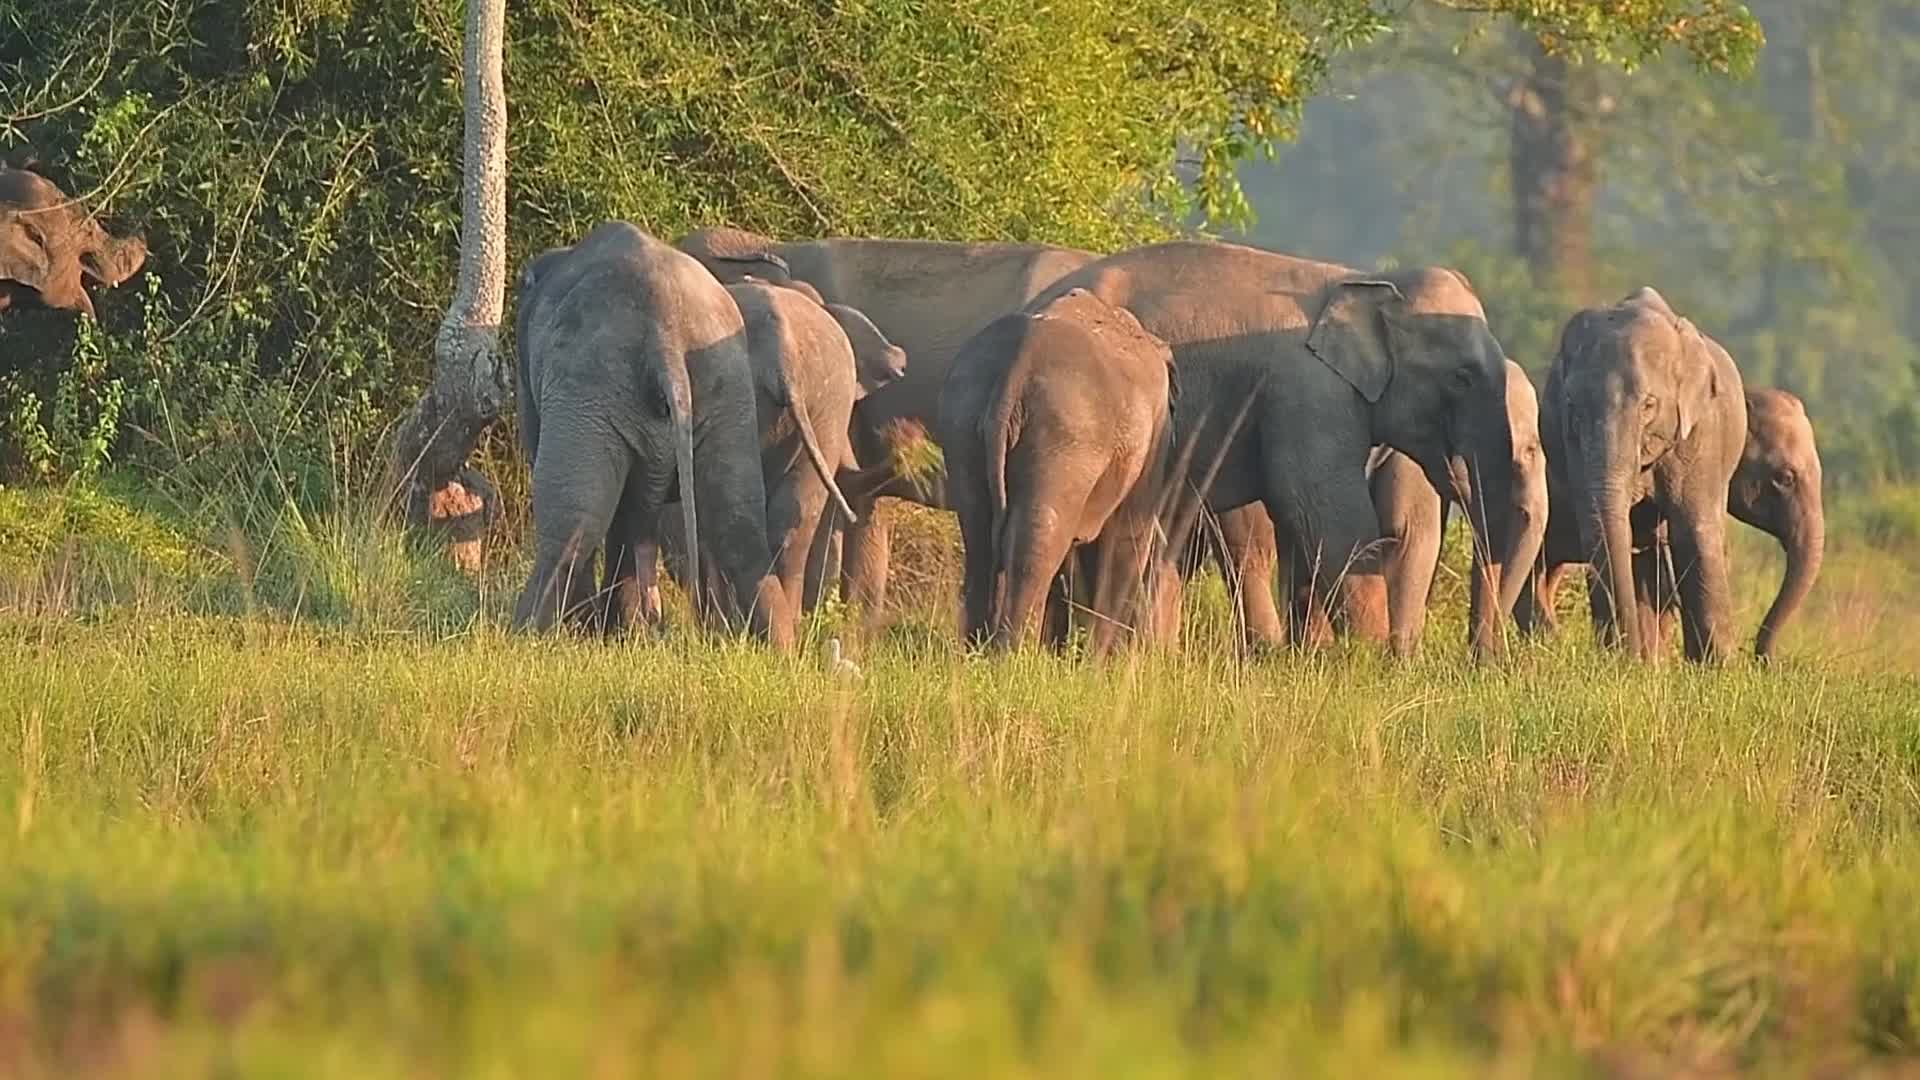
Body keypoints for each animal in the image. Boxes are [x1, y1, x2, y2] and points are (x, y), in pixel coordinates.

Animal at [510, 221, 791, 648]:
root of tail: (667, 337)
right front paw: (621, 632)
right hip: (728, 386)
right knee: (738, 519)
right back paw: (782, 649)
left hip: (589, 382)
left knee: (574, 518)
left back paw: (523, 633)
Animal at [937, 288, 1177, 653]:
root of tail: (1017, 365)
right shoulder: (1154, 438)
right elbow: (1128, 533)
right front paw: (1102, 660)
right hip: (1064, 435)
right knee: (1038, 539)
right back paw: (1013, 655)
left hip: (962, 418)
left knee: (979, 535)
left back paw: (977, 651)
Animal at [1024, 240, 1527, 657]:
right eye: (1461, 377)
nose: (1485, 660)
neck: (1364, 280)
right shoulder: (1309, 396)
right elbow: (1328, 513)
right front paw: (1366, 656)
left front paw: (1318, 657)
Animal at [1527, 287, 1746, 662]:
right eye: (1572, 408)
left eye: (1648, 405)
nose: (1624, 653)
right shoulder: (1572, 447)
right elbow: (1600, 531)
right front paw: (1627, 663)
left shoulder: (1701, 432)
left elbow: (1694, 530)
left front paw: (1719, 668)